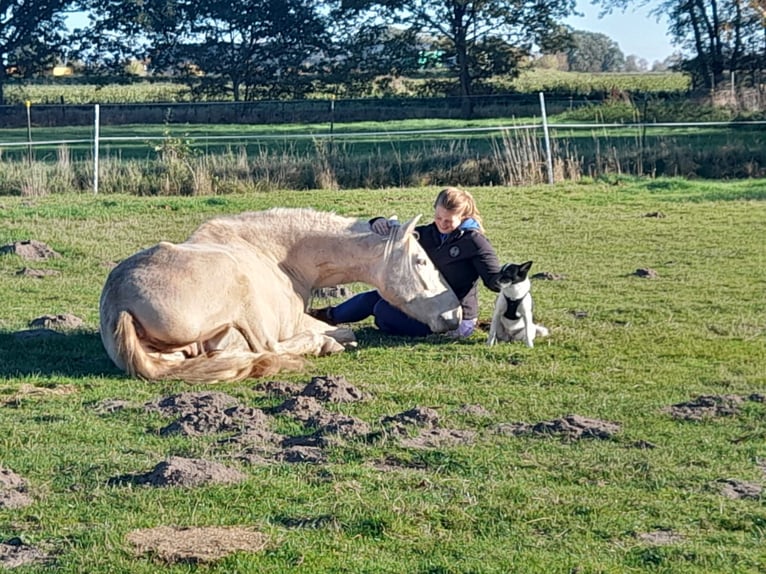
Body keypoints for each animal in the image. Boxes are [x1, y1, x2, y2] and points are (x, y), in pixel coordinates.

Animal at [100, 209, 462, 384]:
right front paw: (331, 341)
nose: (454, 315)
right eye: (420, 261)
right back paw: (323, 345)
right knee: (267, 348)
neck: (280, 255)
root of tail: (119, 302)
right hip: (245, 303)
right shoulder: (294, 321)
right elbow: (343, 331)